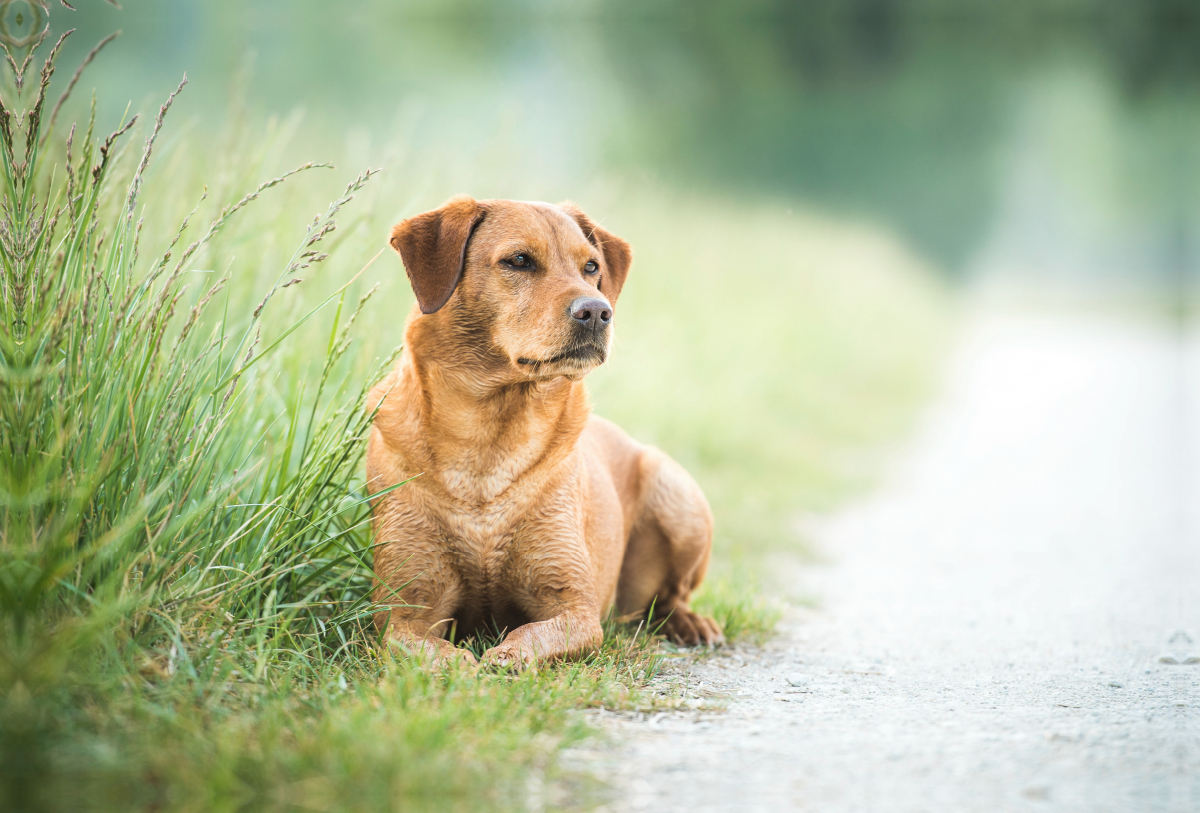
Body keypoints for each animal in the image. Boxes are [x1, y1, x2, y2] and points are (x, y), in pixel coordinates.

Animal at [364, 195, 720, 666]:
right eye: (519, 260)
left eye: (591, 266)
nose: (597, 311)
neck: (488, 440)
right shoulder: (405, 613)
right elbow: (436, 653)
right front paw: (464, 668)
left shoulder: (574, 607)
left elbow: (526, 639)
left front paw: (499, 660)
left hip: (678, 495)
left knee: (672, 596)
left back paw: (690, 623)